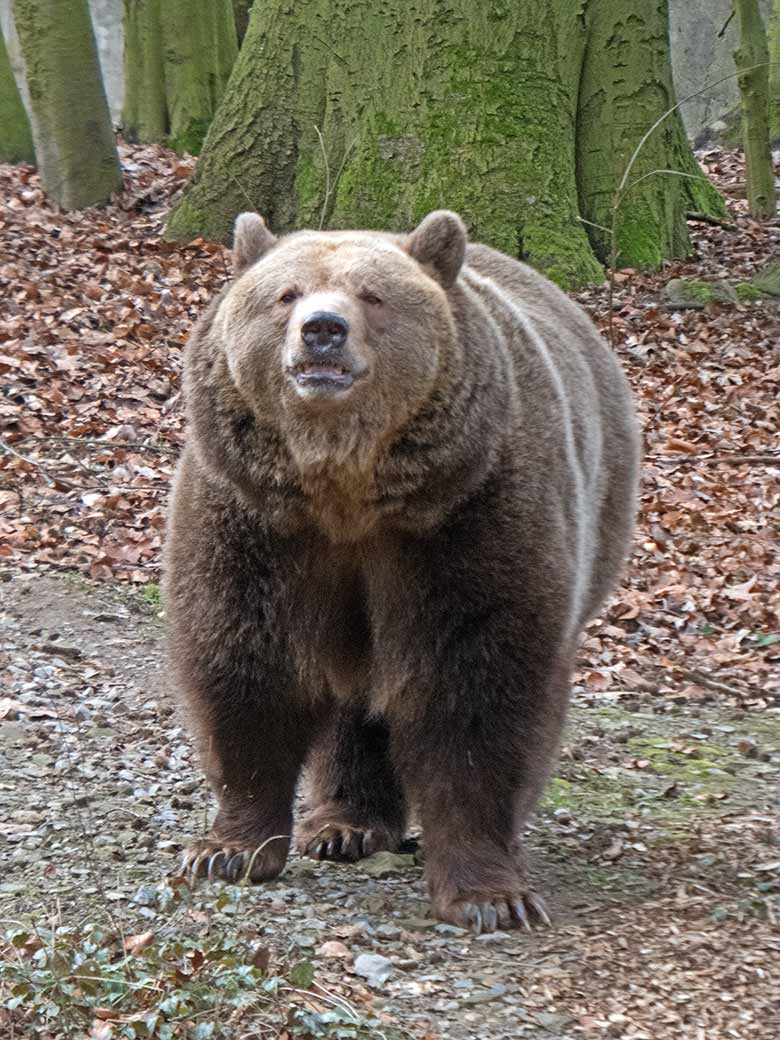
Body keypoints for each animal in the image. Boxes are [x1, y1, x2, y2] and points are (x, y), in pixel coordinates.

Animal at [165, 209, 640, 935]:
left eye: (373, 296)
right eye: (285, 294)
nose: (322, 330)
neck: (345, 493)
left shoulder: (468, 520)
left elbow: (476, 692)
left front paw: (490, 895)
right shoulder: (254, 522)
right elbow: (247, 665)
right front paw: (228, 850)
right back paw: (342, 825)